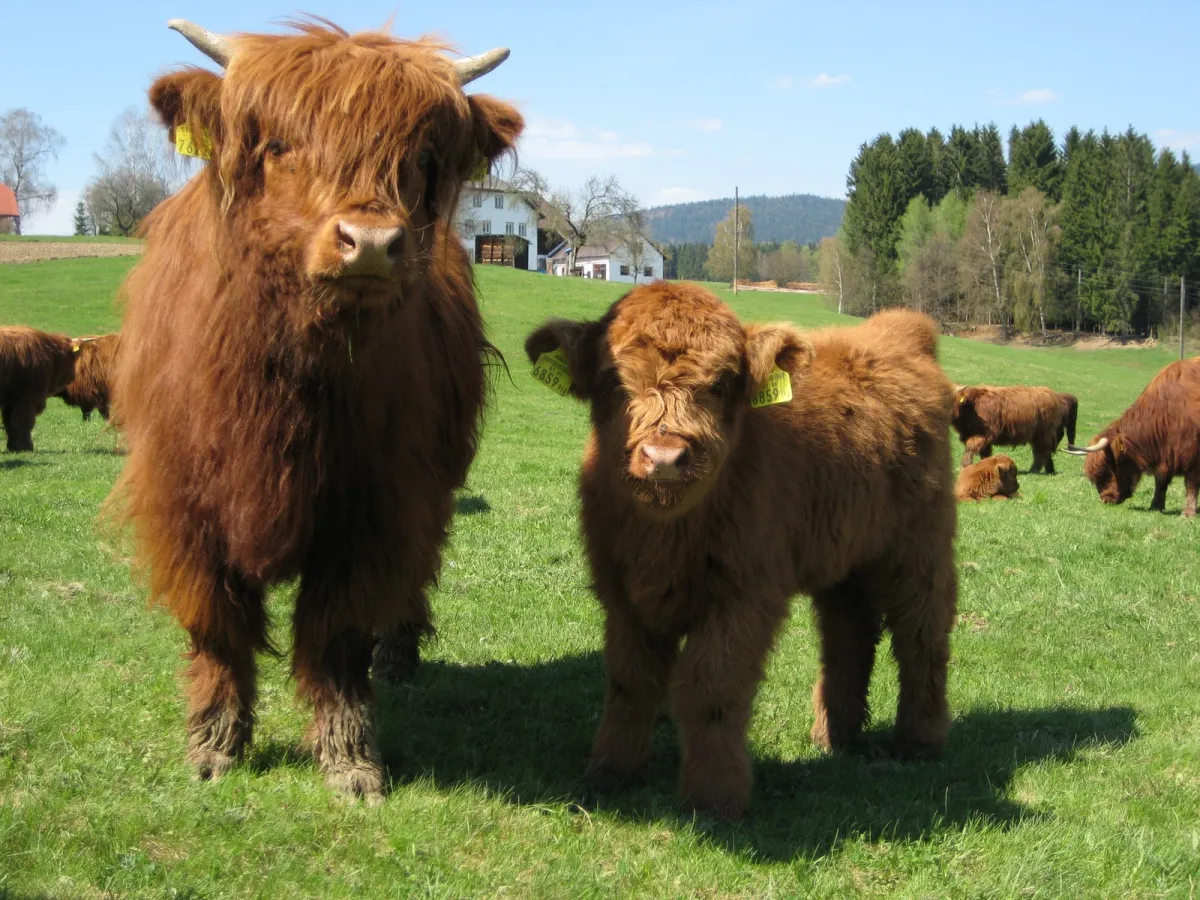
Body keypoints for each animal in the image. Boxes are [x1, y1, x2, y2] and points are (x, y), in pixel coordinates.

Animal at [107, 18, 523, 802]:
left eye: (422, 157)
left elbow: (338, 637)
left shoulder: (375, 507)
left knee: (416, 572)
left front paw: (350, 759)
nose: (373, 244)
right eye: (278, 144)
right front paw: (213, 745)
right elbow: (216, 625)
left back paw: (400, 657)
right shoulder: (184, 504)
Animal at [525, 286, 958, 819]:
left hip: (920, 548)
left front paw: (715, 796)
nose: (664, 458)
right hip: (845, 557)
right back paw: (834, 736)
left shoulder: (744, 596)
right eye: (612, 379)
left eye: (722, 382)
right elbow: (631, 680)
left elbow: (713, 688)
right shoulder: (622, 595)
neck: (665, 536)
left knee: (921, 635)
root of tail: (900, 331)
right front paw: (610, 771)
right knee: (848, 635)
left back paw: (920, 741)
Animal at [1067, 357, 1200, 518]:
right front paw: (1155, 505)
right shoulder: (1165, 457)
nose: (1106, 499)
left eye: (1105, 471)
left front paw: (1188, 513)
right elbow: (1161, 482)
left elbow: (1191, 483)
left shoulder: (1192, 455)